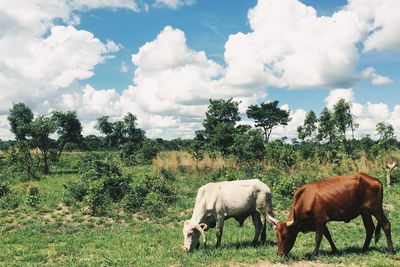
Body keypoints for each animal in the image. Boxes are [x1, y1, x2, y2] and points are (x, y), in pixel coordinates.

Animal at [268, 174, 396, 258]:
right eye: (276, 236)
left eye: (286, 236)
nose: (279, 254)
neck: (306, 199)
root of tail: (376, 180)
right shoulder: (322, 221)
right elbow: (328, 235)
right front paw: (335, 250)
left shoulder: (320, 219)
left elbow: (318, 237)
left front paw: (314, 254)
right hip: (365, 212)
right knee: (369, 228)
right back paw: (363, 249)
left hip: (376, 209)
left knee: (386, 224)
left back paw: (390, 252)